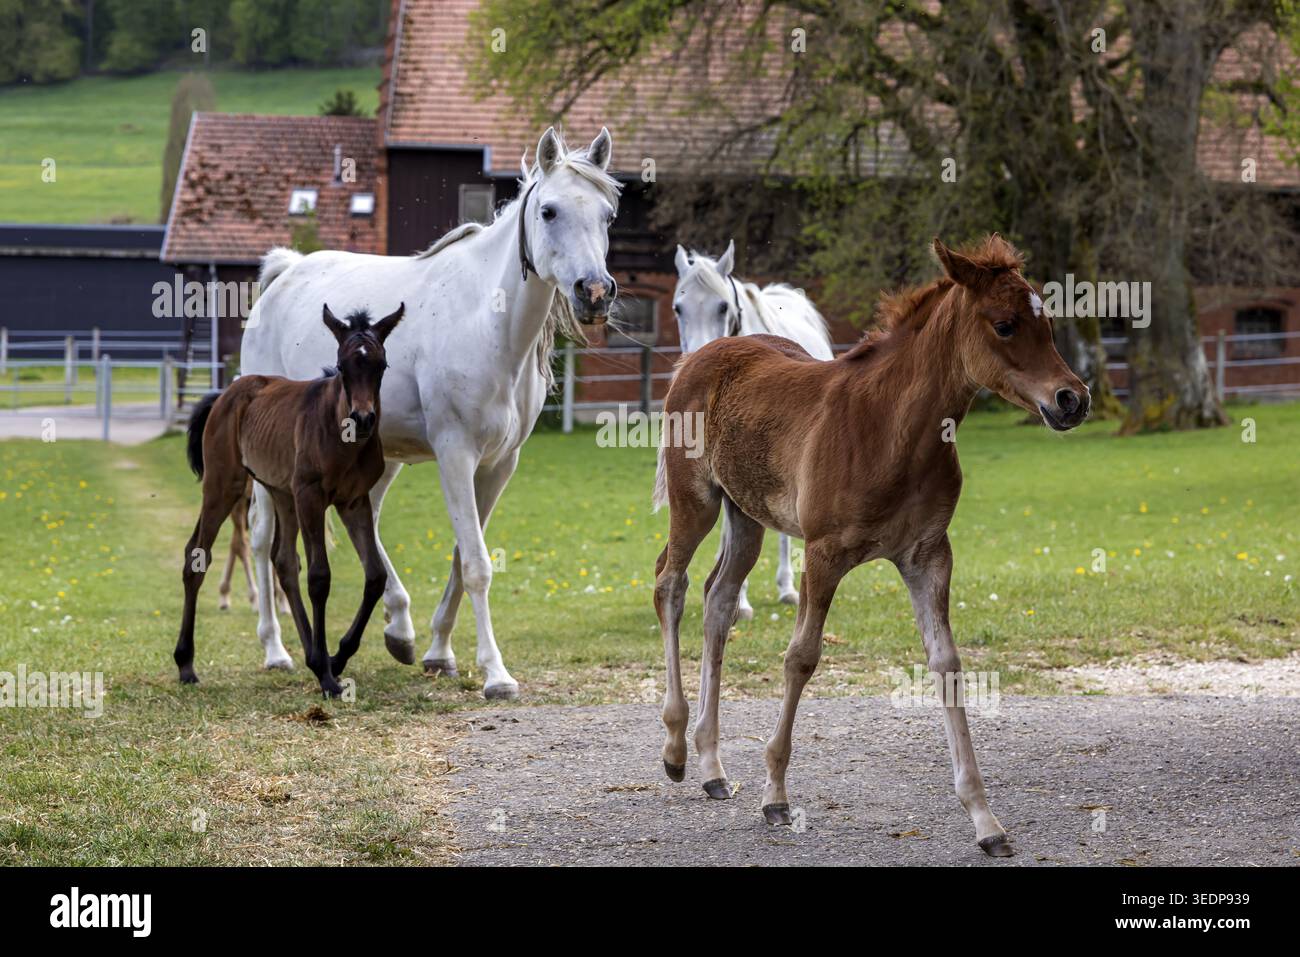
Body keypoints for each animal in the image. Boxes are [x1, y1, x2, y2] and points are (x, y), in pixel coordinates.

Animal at [175, 303, 405, 697]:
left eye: (382, 365)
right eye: (342, 366)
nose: (362, 419)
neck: (341, 435)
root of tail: (226, 392)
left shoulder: (353, 500)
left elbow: (375, 575)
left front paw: (335, 658)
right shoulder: (311, 495)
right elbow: (319, 577)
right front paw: (328, 675)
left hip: (281, 491)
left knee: (282, 561)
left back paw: (313, 655)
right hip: (224, 486)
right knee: (197, 556)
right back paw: (186, 663)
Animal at [240, 128, 620, 700]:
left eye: (608, 214)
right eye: (549, 211)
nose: (593, 292)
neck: (486, 321)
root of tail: (286, 272)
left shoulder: (498, 465)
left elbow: (464, 560)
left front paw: (441, 653)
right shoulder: (455, 454)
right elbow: (478, 564)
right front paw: (496, 675)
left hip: (377, 457)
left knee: (367, 524)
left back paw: (399, 628)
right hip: (274, 465)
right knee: (263, 538)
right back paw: (275, 651)